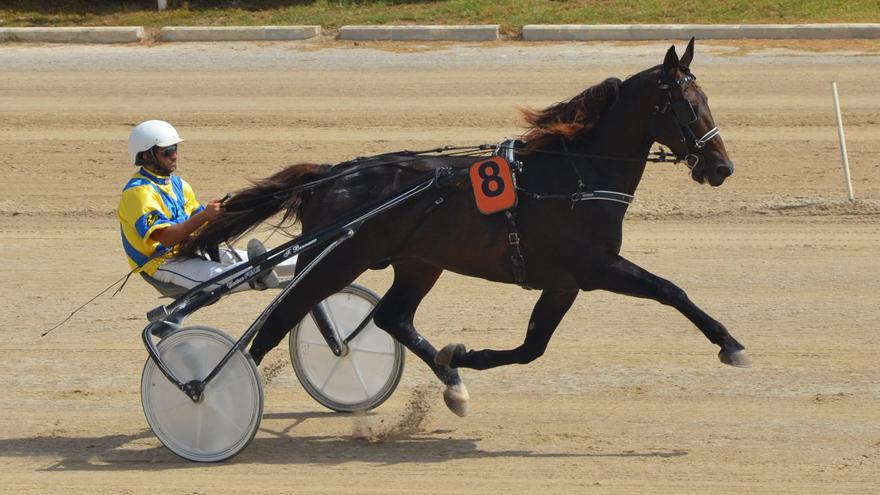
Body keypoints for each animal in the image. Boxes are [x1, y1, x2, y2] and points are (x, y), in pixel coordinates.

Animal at [180, 39, 748, 418]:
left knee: (391, 317)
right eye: (687, 106)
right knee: (279, 321)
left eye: (706, 102)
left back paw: (451, 380)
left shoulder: (563, 282)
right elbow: (670, 289)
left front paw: (463, 356)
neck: (578, 176)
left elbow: (532, 347)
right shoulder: (596, 266)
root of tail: (332, 174)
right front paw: (730, 342)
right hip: (336, 262)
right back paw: (219, 392)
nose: (722, 168)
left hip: (418, 263)